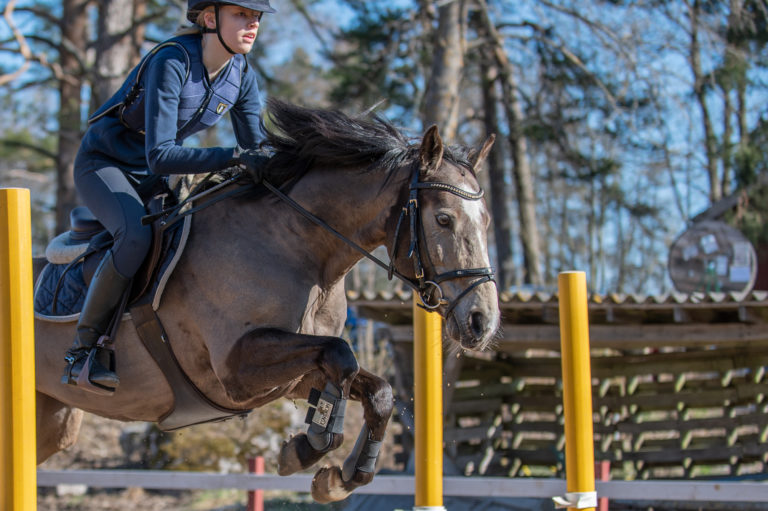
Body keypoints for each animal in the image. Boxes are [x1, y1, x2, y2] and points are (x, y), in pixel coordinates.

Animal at [33, 100, 500, 504]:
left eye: (486, 221)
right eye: (443, 219)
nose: (483, 322)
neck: (300, 248)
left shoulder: (290, 375)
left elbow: (376, 389)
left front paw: (339, 475)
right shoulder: (236, 370)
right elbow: (342, 355)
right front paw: (308, 447)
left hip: (54, 425)